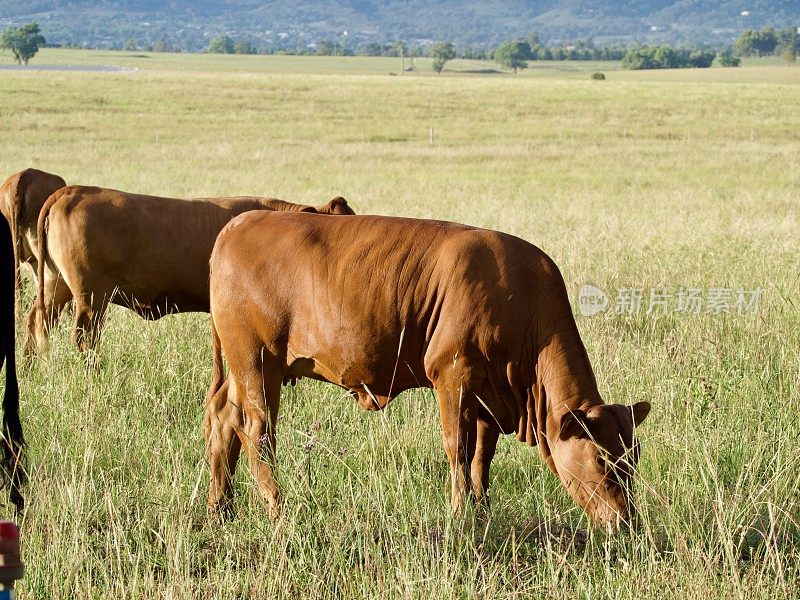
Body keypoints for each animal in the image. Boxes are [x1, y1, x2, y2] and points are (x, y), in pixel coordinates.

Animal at [205, 212, 648, 528]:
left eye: (632, 457)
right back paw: (277, 511)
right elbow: (459, 450)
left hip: (248, 369)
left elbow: (481, 458)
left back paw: (221, 508)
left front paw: (482, 510)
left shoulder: (488, 398)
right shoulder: (453, 378)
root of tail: (239, 224)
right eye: (601, 462)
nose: (626, 522)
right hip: (257, 361)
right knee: (257, 431)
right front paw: (460, 514)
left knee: (224, 418)